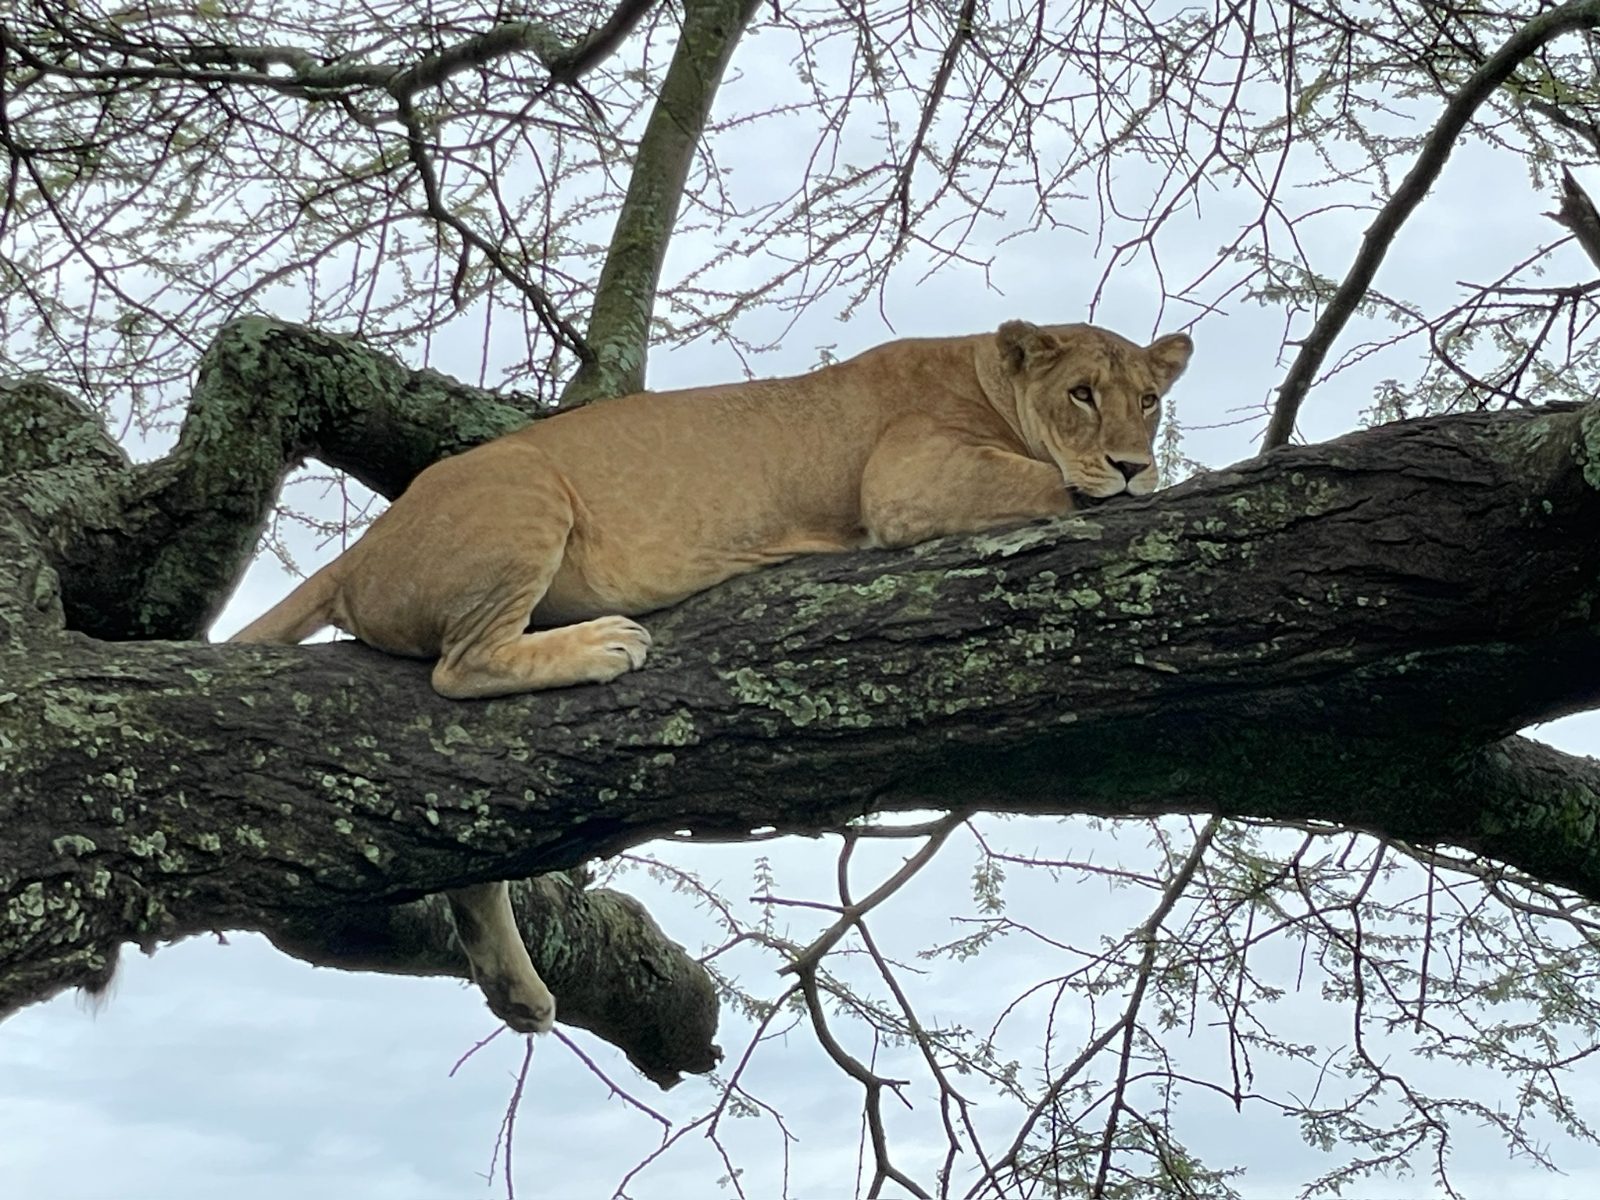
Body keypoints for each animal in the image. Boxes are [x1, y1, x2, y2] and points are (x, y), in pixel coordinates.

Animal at [231, 319, 1193, 1036]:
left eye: (1148, 401)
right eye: (1081, 394)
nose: (1133, 461)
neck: (985, 379)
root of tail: (364, 548)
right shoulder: (909, 481)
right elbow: (1050, 484)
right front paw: (1136, 486)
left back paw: (519, 989)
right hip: (525, 494)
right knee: (457, 669)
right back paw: (605, 646)